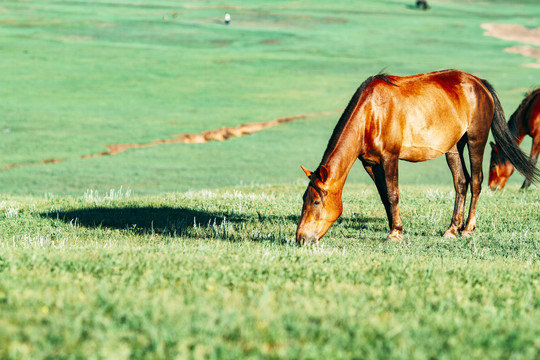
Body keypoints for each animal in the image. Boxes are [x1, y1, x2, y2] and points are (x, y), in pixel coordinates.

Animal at [298, 69, 536, 245]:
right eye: (303, 199)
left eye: (316, 201)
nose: (300, 238)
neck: (372, 112)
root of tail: (479, 83)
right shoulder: (370, 163)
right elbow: (384, 196)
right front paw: (396, 227)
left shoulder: (390, 158)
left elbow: (393, 194)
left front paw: (395, 233)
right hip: (453, 148)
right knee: (461, 182)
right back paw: (452, 229)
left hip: (475, 139)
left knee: (476, 182)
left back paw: (468, 228)